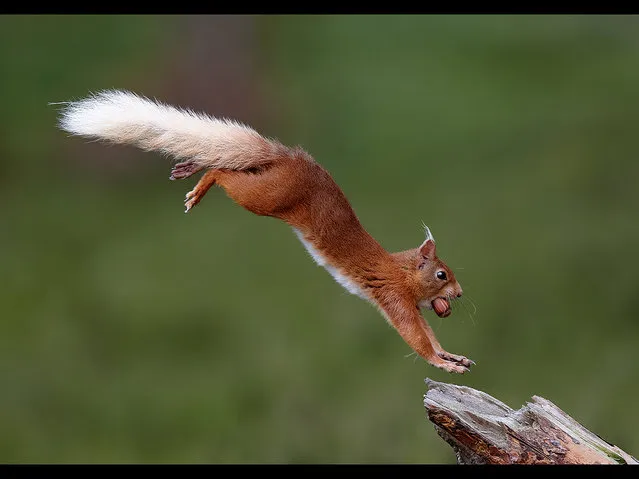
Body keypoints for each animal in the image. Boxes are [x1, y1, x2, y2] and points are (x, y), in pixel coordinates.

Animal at [56, 91, 476, 376]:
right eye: (442, 274)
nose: (458, 295)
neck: (401, 271)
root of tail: (287, 157)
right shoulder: (393, 297)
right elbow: (415, 337)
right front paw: (444, 364)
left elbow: (429, 334)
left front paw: (452, 355)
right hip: (267, 196)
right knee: (225, 173)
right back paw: (201, 183)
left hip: (264, 183)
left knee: (228, 164)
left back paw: (190, 169)